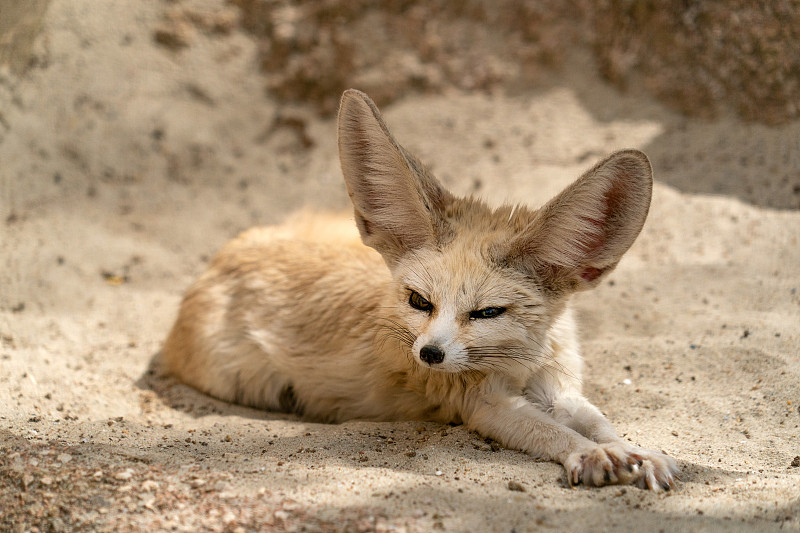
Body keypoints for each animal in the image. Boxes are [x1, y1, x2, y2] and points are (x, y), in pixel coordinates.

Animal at [166, 88, 680, 490]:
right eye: (419, 301)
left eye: (487, 312)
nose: (429, 354)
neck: (521, 364)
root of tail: (230, 249)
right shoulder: (482, 402)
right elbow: (553, 432)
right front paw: (591, 454)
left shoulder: (560, 385)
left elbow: (598, 421)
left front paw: (634, 451)